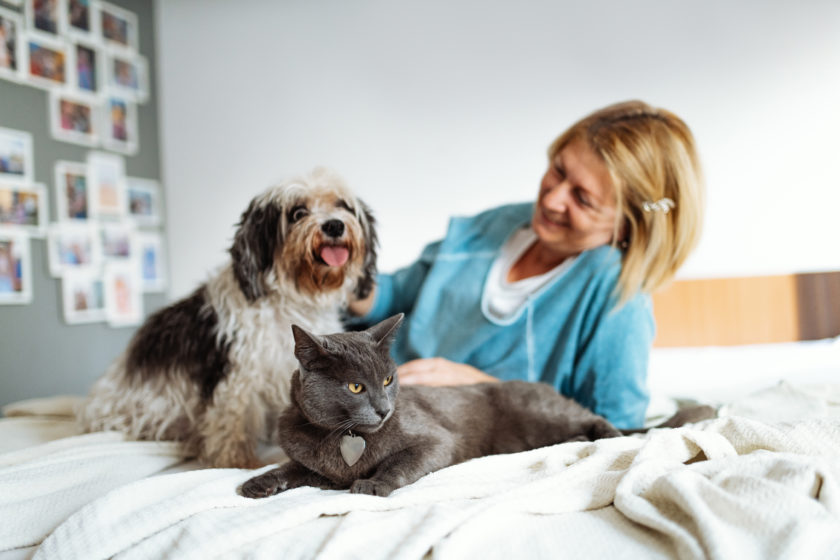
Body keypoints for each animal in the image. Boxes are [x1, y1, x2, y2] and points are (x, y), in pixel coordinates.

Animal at [79, 167, 378, 468]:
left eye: (342, 205)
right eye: (297, 213)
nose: (334, 225)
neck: (293, 300)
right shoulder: (241, 375)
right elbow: (233, 419)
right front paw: (237, 461)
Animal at [238, 316, 664, 498]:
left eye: (388, 380)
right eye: (355, 386)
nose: (384, 410)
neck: (347, 437)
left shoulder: (436, 441)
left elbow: (401, 461)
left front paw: (374, 484)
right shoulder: (316, 465)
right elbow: (294, 467)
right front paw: (259, 482)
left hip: (542, 414)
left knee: (593, 416)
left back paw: (608, 437)